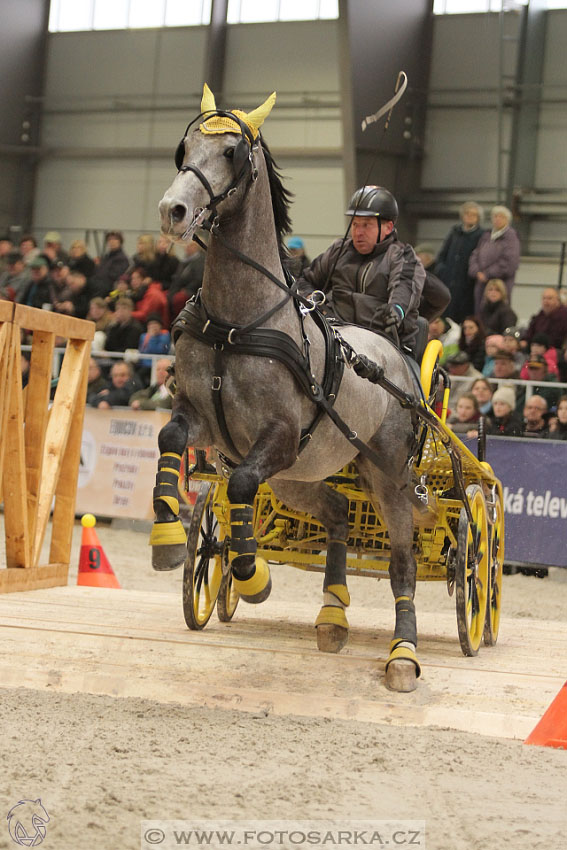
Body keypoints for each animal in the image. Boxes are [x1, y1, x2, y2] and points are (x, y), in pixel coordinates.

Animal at [153, 84, 424, 688]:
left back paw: (403, 653)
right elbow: (169, 441)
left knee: (402, 561)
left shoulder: (275, 437)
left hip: (388, 476)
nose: (172, 210)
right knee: (339, 512)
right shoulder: (200, 416)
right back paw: (333, 614)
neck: (237, 323)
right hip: (301, 475)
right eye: (183, 148)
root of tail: (395, 357)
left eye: (232, 152)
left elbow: (238, 484)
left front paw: (251, 575)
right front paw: (168, 541)